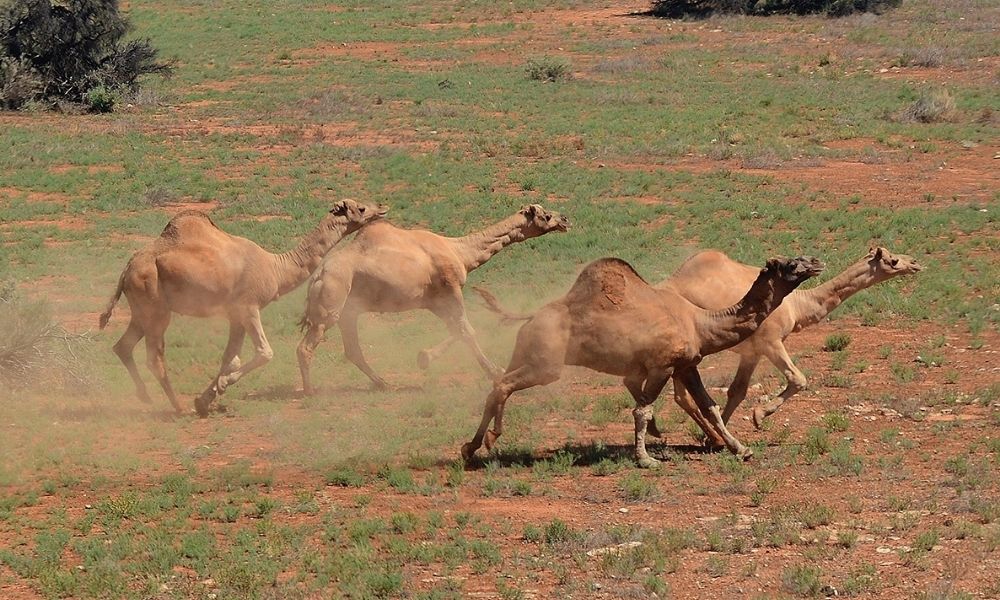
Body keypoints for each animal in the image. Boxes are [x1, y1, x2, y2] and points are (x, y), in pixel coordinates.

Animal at [97, 199, 386, 414]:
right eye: (361, 208)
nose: (382, 208)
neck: (276, 268)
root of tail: (128, 268)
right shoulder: (248, 306)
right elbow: (264, 352)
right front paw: (220, 387)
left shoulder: (234, 314)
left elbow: (230, 357)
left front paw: (205, 400)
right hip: (155, 306)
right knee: (153, 357)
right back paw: (178, 407)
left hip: (141, 309)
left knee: (123, 346)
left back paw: (146, 396)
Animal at [296, 204, 572, 396]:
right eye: (546, 215)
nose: (566, 219)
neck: (461, 252)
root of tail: (318, 276)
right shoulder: (451, 289)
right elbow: (466, 330)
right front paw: (496, 371)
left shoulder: (434, 300)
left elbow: (457, 330)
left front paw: (424, 357)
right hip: (331, 303)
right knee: (306, 347)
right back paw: (310, 392)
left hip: (349, 310)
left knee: (352, 349)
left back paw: (384, 383)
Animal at [460, 255, 820, 466]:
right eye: (791, 265)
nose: (816, 261)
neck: (700, 322)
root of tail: (532, 315)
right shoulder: (662, 365)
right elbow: (642, 410)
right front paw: (646, 459)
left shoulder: (687, 364)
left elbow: (710, 407)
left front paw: (740, 448)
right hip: (546, 363)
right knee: (503, 385)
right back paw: (482, 443)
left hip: (526, 351)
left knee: (499, 382)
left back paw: (474, 445)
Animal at [660, 245, 924, 446]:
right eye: (892, 260)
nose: (915, 263)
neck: (798, 306)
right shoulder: (771, 341)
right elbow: (798, 379)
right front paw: (758, 416)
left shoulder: (752, 351)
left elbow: (738, 390)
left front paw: (717, 437)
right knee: (683, 394)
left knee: (682, 396)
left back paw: (712, 437)